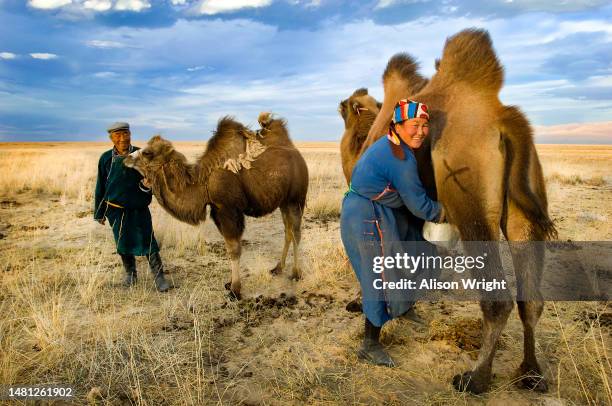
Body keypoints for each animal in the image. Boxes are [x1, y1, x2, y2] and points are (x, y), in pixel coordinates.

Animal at [123, 112, 308, 300]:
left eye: (147, 152)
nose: (126, 158)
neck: (203, 183)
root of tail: (297, 153)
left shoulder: (228, 210)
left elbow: (234, 249)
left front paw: (235, 290)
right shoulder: (217, 211)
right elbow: (229, 246)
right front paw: (229, 284)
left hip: (296, 198)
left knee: (296, 232)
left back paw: (296, 273)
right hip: (283, 202)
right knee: (288, 231)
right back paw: (278, 268)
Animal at [342, 27, 556, 394]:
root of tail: (504, 120)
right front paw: (408, 311)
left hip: (471, 203)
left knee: (497, 300)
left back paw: (475, 378)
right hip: (525, 203)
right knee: (531, 298)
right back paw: (531, 374)